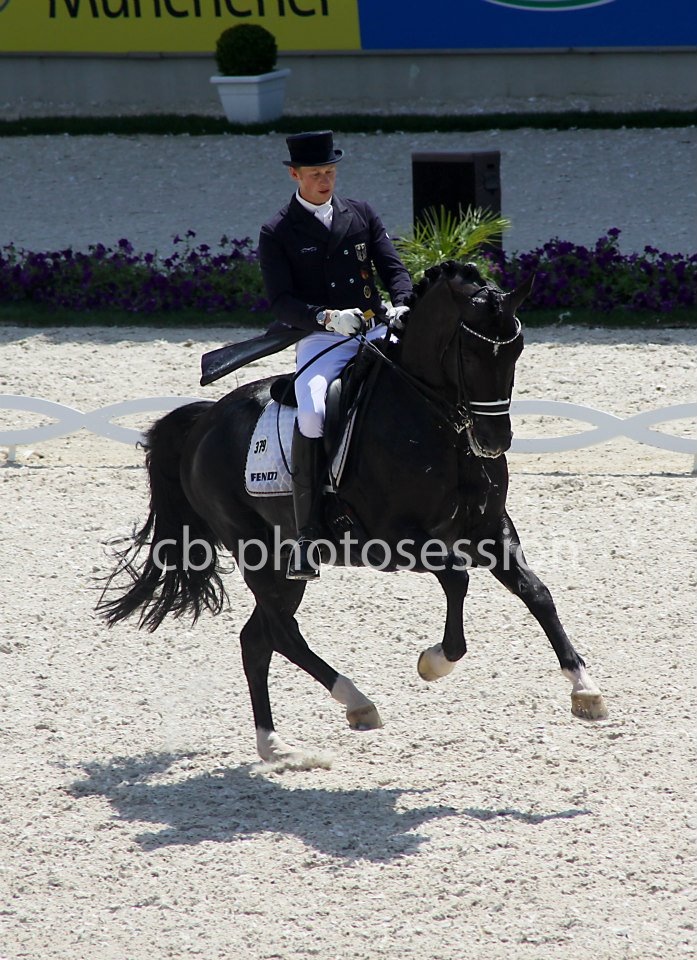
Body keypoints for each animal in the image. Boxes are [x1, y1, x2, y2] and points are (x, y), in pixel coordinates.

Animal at [100, 260, 608, 764]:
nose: (494, 440)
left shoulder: (489, 527)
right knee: (281, 633)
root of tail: (204, 422)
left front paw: (584, 689)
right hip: (260, 555)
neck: (437, 425)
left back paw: (276, 745)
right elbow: (458, 581)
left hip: (283, 566)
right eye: (470, 352)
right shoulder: (395, 542)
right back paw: (356, 702)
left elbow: (537, 593)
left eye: (516, 350)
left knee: (257, 640)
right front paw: (433, 662)